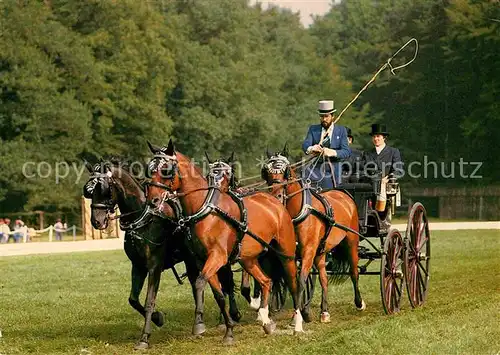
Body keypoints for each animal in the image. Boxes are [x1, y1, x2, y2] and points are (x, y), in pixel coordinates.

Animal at [83, 160, 241, 350]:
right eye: (89, 190)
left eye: (105, 188)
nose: (96, 221)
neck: (144, 220)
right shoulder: (138, 267)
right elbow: (133, 300)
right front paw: (158, 319)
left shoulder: (154, 266)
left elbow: (149, 301)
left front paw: (144, 338)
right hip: (192, 261)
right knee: (198, 285)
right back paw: (201, 321)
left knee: (226, 283)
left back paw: (231, 316)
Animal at [145, 141, 304, 344]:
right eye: (149, 169)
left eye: (166, 169)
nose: (153, 200)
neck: (205, 209)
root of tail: (275, 201)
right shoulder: (203, 260)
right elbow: (219, 294)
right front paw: (228, 330)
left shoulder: (218, 257)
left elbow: (200, 283)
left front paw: (202, 325)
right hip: (248, 259)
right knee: (266, 281)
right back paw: (266, 321)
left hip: (286, 254)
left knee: (294, 283)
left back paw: (297, 324)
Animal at [264, 146, 366, 324]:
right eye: (267, 172)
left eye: (285, 172)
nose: (276, 196)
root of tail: (344, 193)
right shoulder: (290, 253)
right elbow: (293, 281)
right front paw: (302, 311)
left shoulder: (308, 250)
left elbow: (301, 278)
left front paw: (299, 314)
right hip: (321, 251)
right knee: (324, 278)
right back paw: (324, 311)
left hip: (351, 242)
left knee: (354, 272)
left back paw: (359, 303)